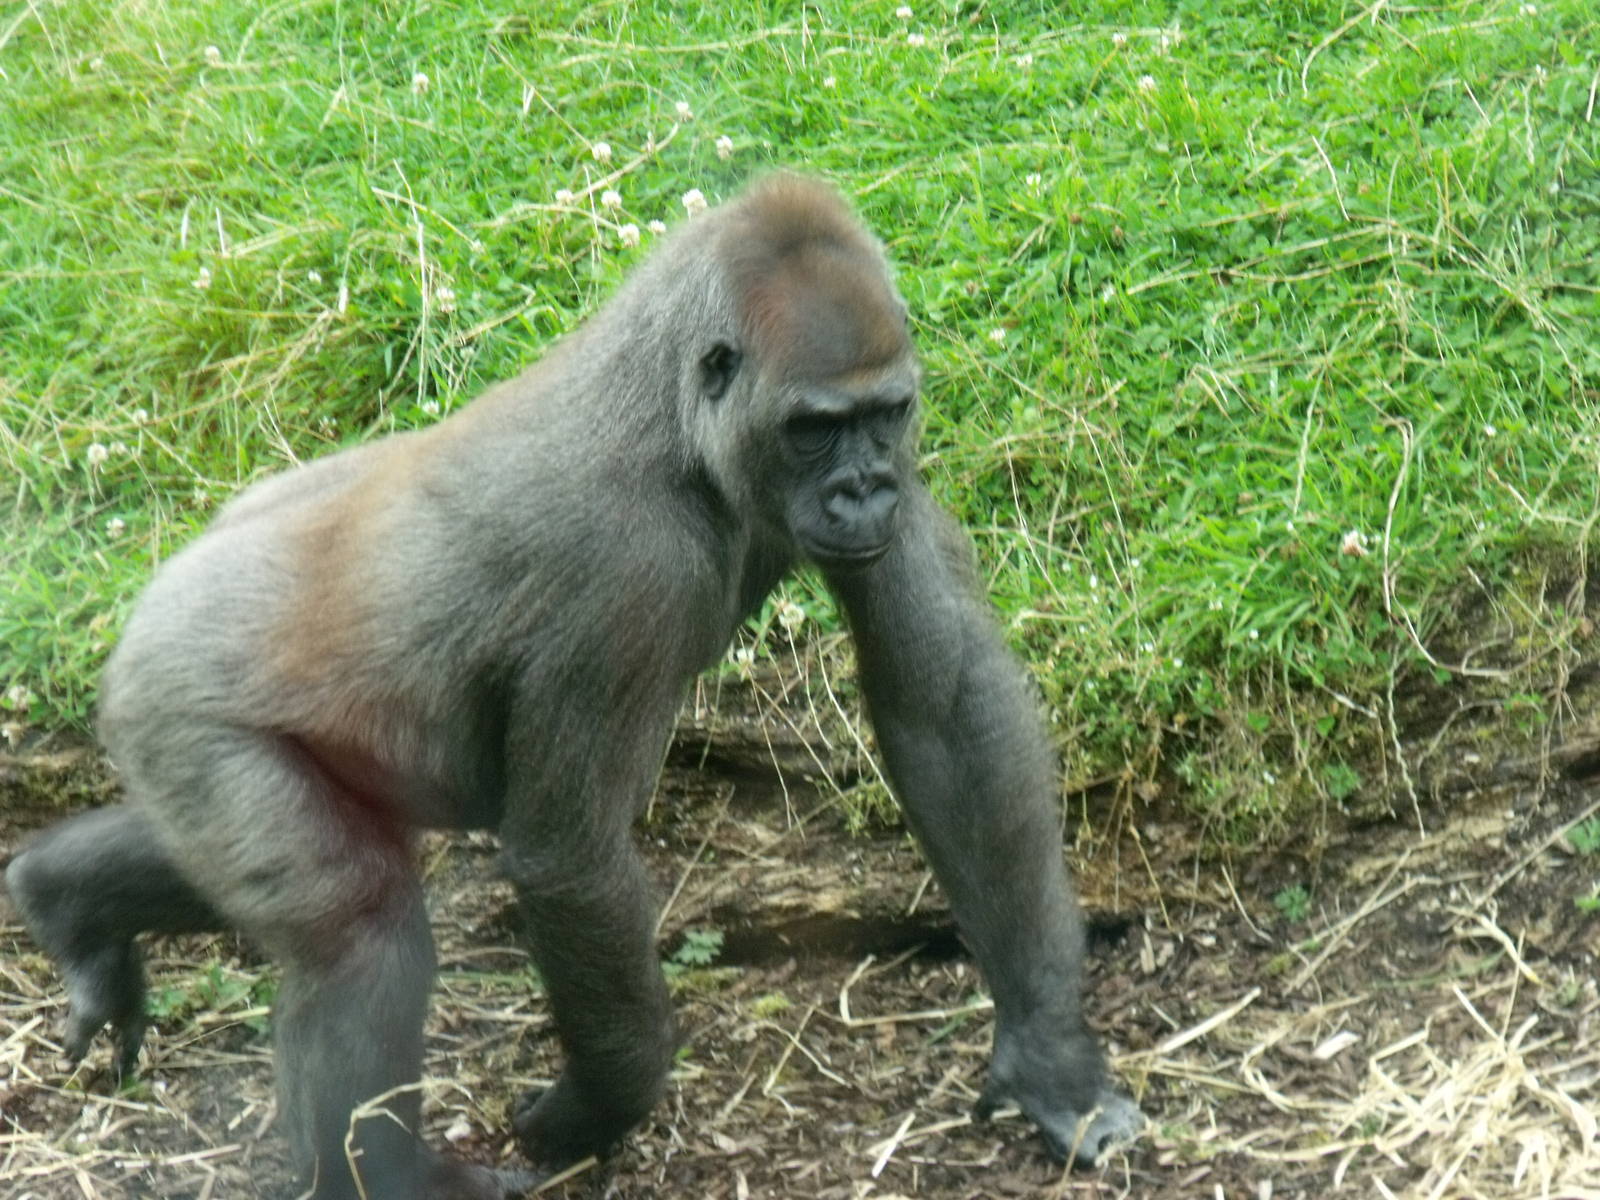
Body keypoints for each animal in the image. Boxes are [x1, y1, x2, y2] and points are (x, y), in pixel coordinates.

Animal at [5, 175, 1142, 1199]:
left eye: (885, 415)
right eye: (816, 426)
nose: (864, 488)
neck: (677, 415)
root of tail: (153, 599)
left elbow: (947, 713)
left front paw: (1049, 1056)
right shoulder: (627, 565)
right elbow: (571, 858)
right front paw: (602, 1106)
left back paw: (70, 904)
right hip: (182, 694)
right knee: (358, 931)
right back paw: (387, 1175)